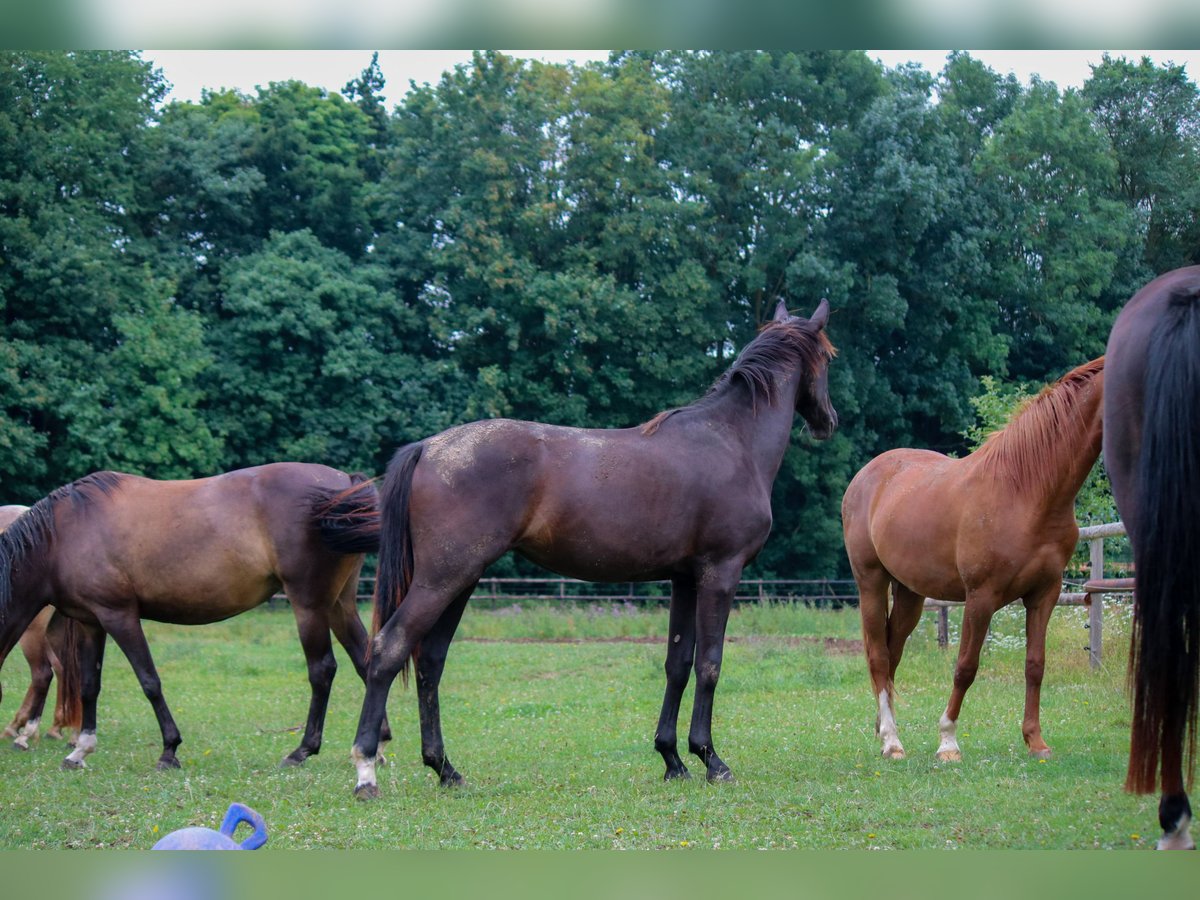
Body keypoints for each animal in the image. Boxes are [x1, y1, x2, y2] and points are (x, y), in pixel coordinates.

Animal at [317, 299, 838, 799]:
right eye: (829, 358)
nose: (829, 421)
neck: (730, 441)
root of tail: (428, 447)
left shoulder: (684, 579)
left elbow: (677, 664)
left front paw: (672, 760)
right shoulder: (720, 574)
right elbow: (709, 663)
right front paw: (711, 760)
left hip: (460, 581)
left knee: (430, 661)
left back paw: (446, 770)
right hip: (442, 579)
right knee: (389, 649)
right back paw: (367, 771)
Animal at [842, 355, 1105, 763]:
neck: (1026, 490)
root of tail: (865, 476)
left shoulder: (1044, 594)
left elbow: (1035, 664)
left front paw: (1035, 741)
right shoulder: (981, 596)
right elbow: (966, 666)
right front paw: (948, 742)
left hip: (910, 594)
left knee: (892, 652)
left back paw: (883, 730)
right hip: (871, 582)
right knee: (878, 656)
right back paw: (892, 741)